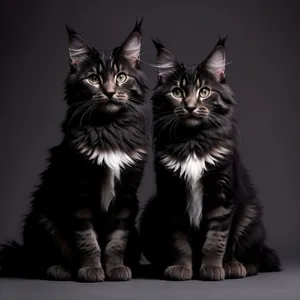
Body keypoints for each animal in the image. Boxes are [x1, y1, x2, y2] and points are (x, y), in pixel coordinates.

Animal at [0, 19, 148, 282]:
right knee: (45, 258)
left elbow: (117, 241)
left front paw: (115, 269)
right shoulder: (79, 194)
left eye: (121, 77)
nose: (110, 91)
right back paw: (62, 269)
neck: (108, 128)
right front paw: (91, 269)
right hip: (41, 220)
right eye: (94, 79)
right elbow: (87, 241)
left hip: (136, 231)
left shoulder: (127, 197)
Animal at [141, 37, 282, 282]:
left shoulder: (222, 197)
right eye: (177, 92)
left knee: (253, 259)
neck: (192, 142)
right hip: (150, 211)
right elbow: (179, 243)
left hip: (251, 215)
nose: (190, 106)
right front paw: (181, 269)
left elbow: (216, 241)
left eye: (204, 92)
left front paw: (212, 269)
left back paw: (235, 266)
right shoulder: (173, 197)